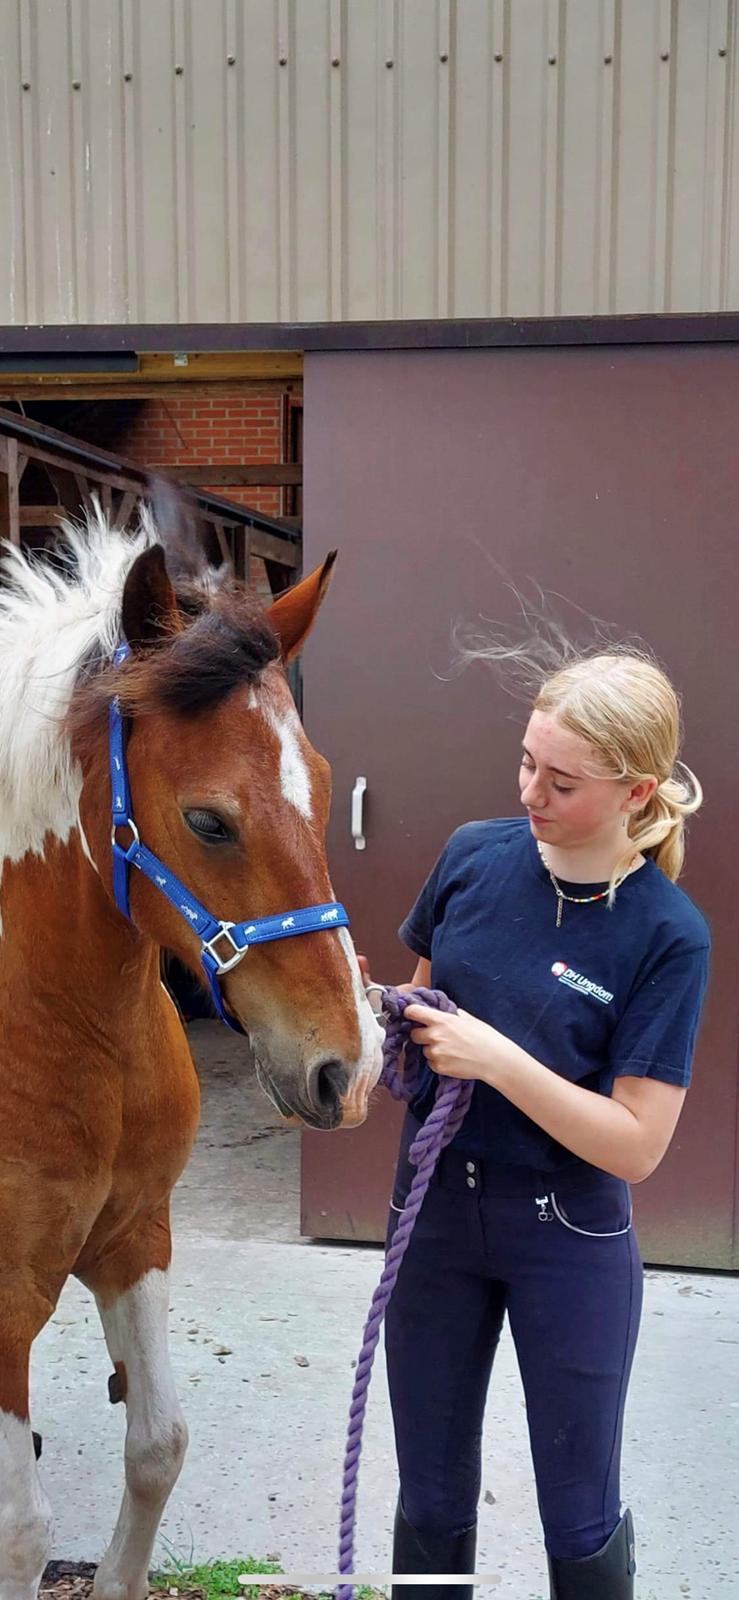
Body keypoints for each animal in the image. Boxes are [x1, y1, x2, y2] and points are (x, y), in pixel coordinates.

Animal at [0, 492, 380, 1593]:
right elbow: (23, 1528)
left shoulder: (136, 1236)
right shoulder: (1, 1299)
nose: (348, 1067)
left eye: (323, 785)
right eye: (208, 820)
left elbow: (159, 1446)